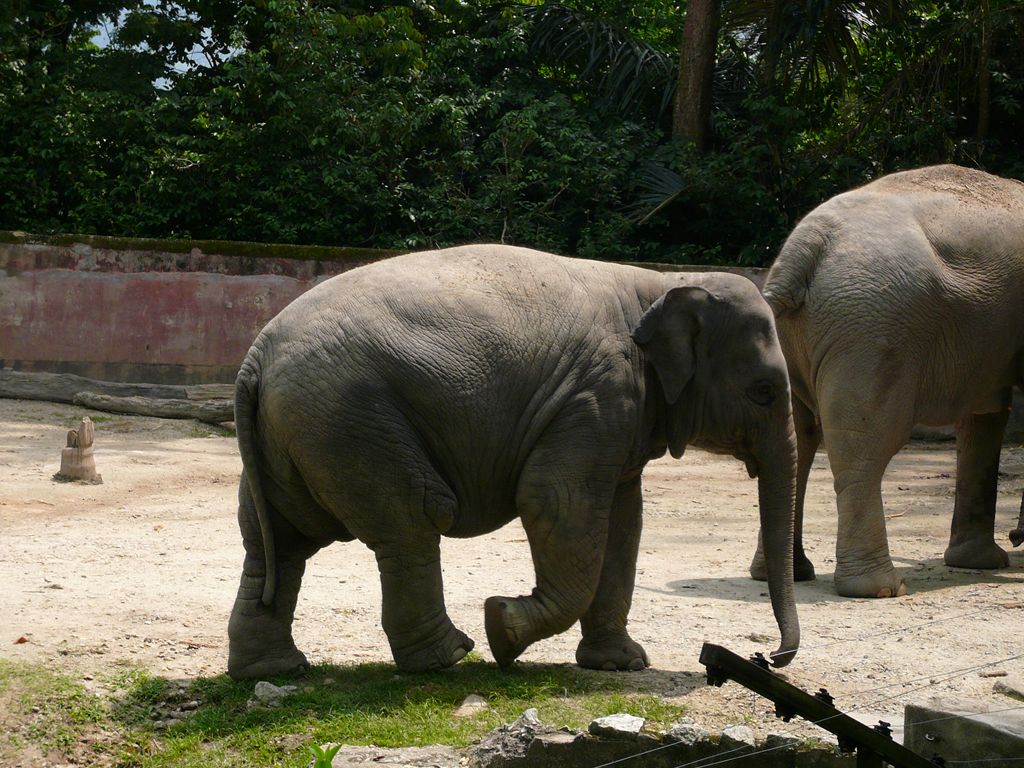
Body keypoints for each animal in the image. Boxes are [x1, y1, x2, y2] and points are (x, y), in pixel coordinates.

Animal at [226, 244, 798, 679]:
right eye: (764, 392)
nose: (769, 656)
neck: (659, 282)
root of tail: (254, 358)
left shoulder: (620, 419)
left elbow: (623, 523)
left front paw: (622, 664)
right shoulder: (596, 397)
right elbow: (555, 501)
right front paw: (501, 628)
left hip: (294, 436)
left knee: (275, 541)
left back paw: (274, 671)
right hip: (351, 423)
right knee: (411, 523)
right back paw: (449, 657)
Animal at [749, 163, 1024, 602]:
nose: (1016, 536)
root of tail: (803, 250)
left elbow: (983, 415)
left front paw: (978, 563)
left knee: (795, 440)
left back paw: (785, 574)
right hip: (872, 330)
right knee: (865, 444)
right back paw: (880, 588)